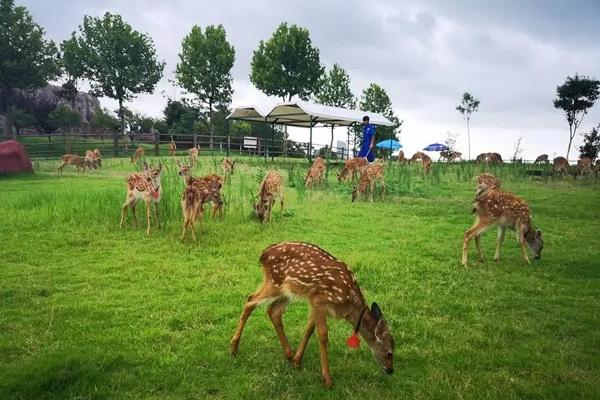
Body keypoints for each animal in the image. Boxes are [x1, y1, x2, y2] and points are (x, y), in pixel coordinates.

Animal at [230, 241, 394, 388]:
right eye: (389, 352)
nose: (390, 371)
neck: (348, 304)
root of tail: (263, 255)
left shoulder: (316, 304)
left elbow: (309, 329)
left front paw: (297, 361)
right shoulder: (319, 299)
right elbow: (323, 335)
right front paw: (327, 379)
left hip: (287, 291)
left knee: (273, 310)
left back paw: (289, 354)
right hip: (275, 282)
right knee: (250, 300)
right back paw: (233, 348)